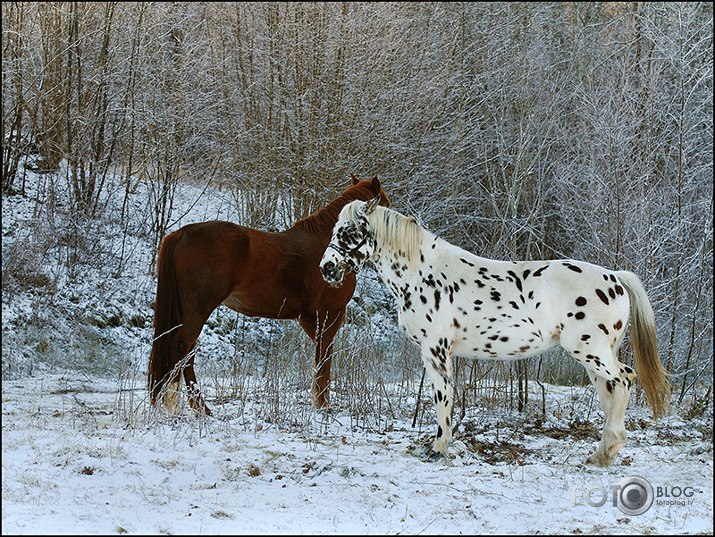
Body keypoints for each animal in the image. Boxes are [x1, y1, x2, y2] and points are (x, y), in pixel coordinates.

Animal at [147, 176, 392, 414]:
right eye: (387, 208)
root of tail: (181, 233)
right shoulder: (330, 313)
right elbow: (324, 357)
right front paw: (322, 403)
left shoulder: (312, 317)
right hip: (198, 308)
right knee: (182, 348)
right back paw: (182, 405)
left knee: (187, 352)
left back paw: (197, 407)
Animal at [322, 196, 676, 464]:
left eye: (348, 231)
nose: (326, 268)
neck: (422, 272)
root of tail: (615, 278)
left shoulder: (436, 350)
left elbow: (442, 397)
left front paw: (438, 449)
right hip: (594, 356)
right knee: (610, 392)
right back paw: (601, 453)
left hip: (591, 351)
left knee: (625, 380)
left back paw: (606, 453)